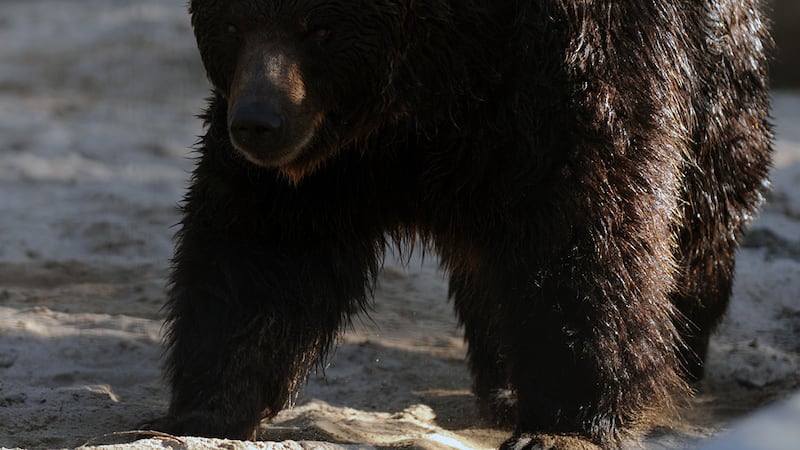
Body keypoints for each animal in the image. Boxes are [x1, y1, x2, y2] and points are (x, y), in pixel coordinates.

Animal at [146, 1, 773, 448]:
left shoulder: (570, 73)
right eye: (232, 25)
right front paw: (208, 404)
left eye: (317, 30)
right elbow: (261, 251)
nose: (257, 123)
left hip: (720, 87)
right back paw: (504, 385)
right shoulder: (335, 158)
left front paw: (567, 423)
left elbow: (587, 230)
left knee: (702, 227)